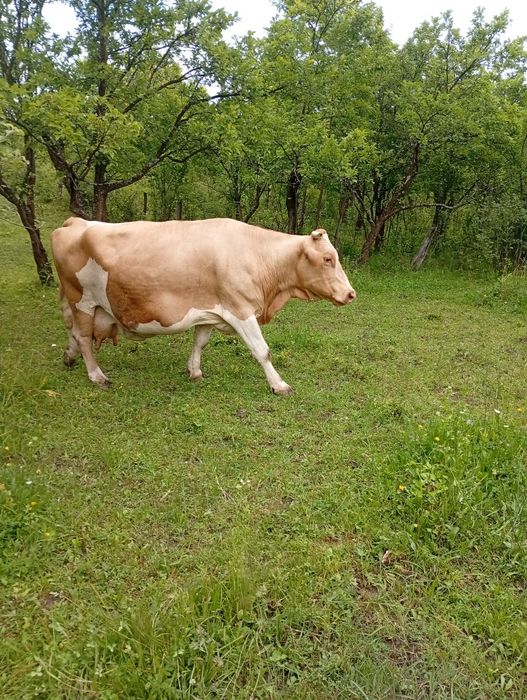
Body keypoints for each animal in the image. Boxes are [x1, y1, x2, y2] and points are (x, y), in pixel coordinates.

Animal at [51, 217, 356, 395]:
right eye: (328, 259)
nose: (351, 294)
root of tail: (74, 221)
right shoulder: (240, 309)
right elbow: (262, 351)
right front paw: (279, 385)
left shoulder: (210, 309)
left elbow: (200, 342)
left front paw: (195, 371)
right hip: (83, 300)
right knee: (84, 337)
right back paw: (96, 375)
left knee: (73, 332)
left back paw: (69, 356)